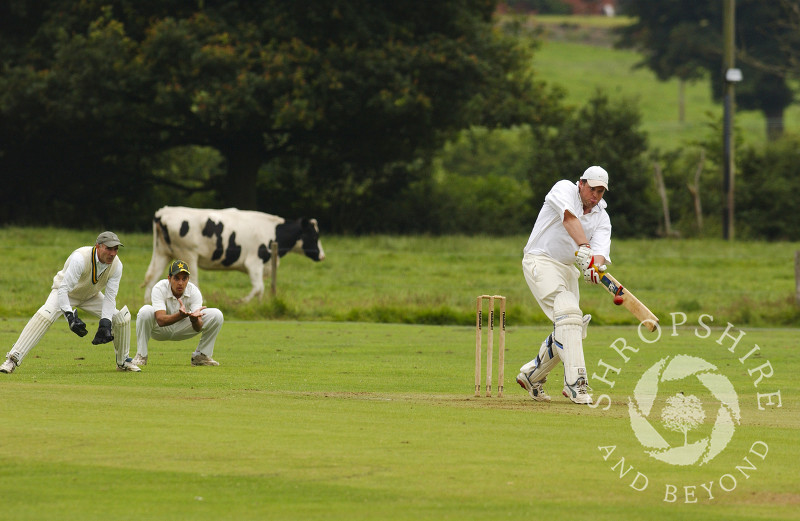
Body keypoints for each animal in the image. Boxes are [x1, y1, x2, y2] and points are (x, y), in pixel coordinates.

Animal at [143, 204, 324, 300]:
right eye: (315, 235)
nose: (322, 255)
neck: (272, 231)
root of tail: (164, 211)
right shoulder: (254, 262)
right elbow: (258, 287)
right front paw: (241, 302)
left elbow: (261, 290)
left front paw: (259, 305)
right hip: (188, 255)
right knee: (193, 281)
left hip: (163, 253)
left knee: (151, 278)